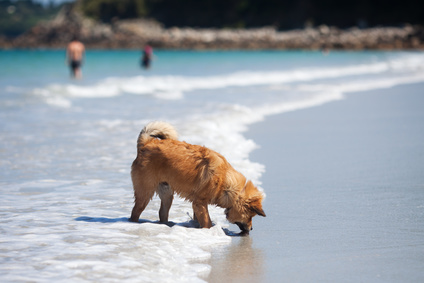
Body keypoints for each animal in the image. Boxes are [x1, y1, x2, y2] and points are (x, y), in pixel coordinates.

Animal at [129, 122, 264, 235]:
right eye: (251, 216)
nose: (252, 228)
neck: (225, 180)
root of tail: (146, 144)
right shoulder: (199, 203)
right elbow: (206, 221)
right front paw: (209, 231)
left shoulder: (197, 205)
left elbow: (198, 218)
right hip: (145, 194)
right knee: (135, 212)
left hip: (167, 194)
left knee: (162, 213)